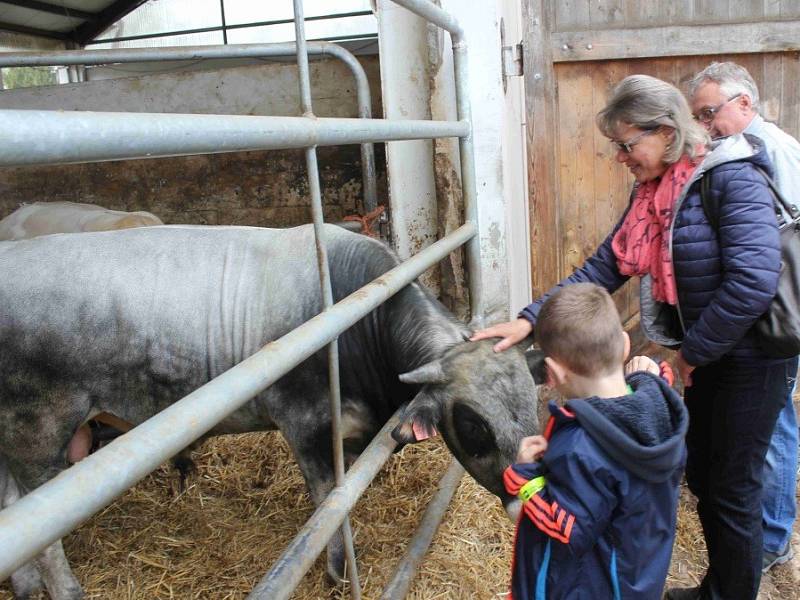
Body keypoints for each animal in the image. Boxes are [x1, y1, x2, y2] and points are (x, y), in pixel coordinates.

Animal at [0, 223, 540, 596]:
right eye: (473, 425)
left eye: (535, 406)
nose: (527, 500)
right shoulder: (304, 424)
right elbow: (327, 503)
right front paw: (339, 572)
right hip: (37, 434)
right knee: (42, 536)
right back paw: (65, 590)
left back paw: (24, 585)